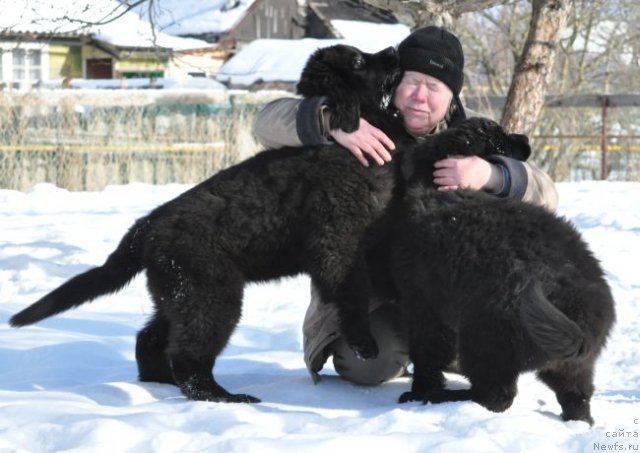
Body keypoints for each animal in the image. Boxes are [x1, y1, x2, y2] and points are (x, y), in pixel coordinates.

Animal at [8, 44, 410, 400]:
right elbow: (352, 293)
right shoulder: (337, 241)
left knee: (150, 340)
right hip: (211, 295)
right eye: (358, 61)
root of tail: (145, 227)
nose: (393, 50)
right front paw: (364, 343)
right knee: (188, 357)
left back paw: (161, 383)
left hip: (177, 295)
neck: (343, 144)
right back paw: (224, 397)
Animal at [390, 121, 616, 424]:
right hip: (572, 366)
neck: (438, 186)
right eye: (502, 139)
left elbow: (427, 355)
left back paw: (445, 397)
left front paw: (418, 392)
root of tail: (583, 319)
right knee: (577, 400)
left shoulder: (424, 304)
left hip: (485, 339)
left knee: (496, 396)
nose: (526, 139)